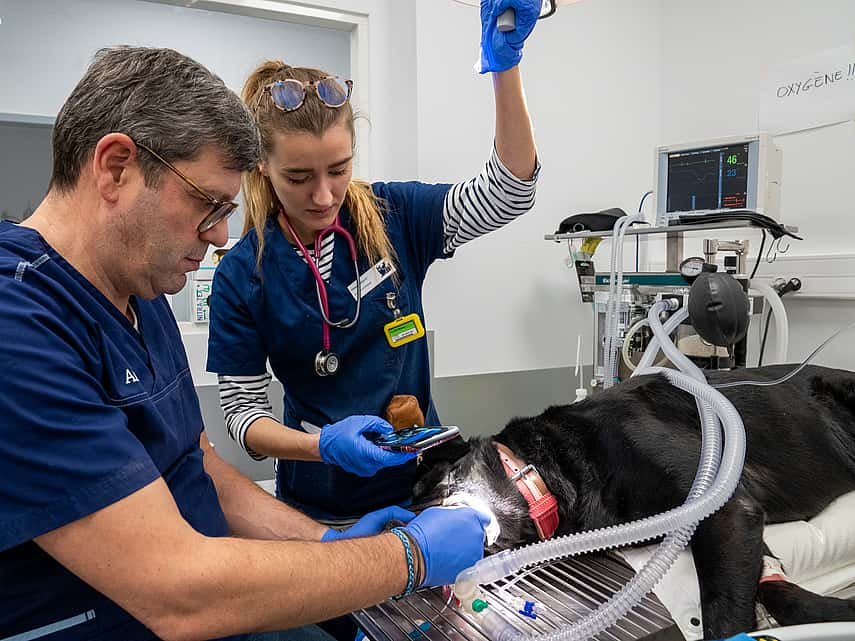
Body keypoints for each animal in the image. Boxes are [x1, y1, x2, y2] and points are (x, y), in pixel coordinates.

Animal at [412, 364, 855, 640]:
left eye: (443, 484)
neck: (556, 465)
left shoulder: (726, 511)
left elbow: (725, 612)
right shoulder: (745, 531)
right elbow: (772, 586)